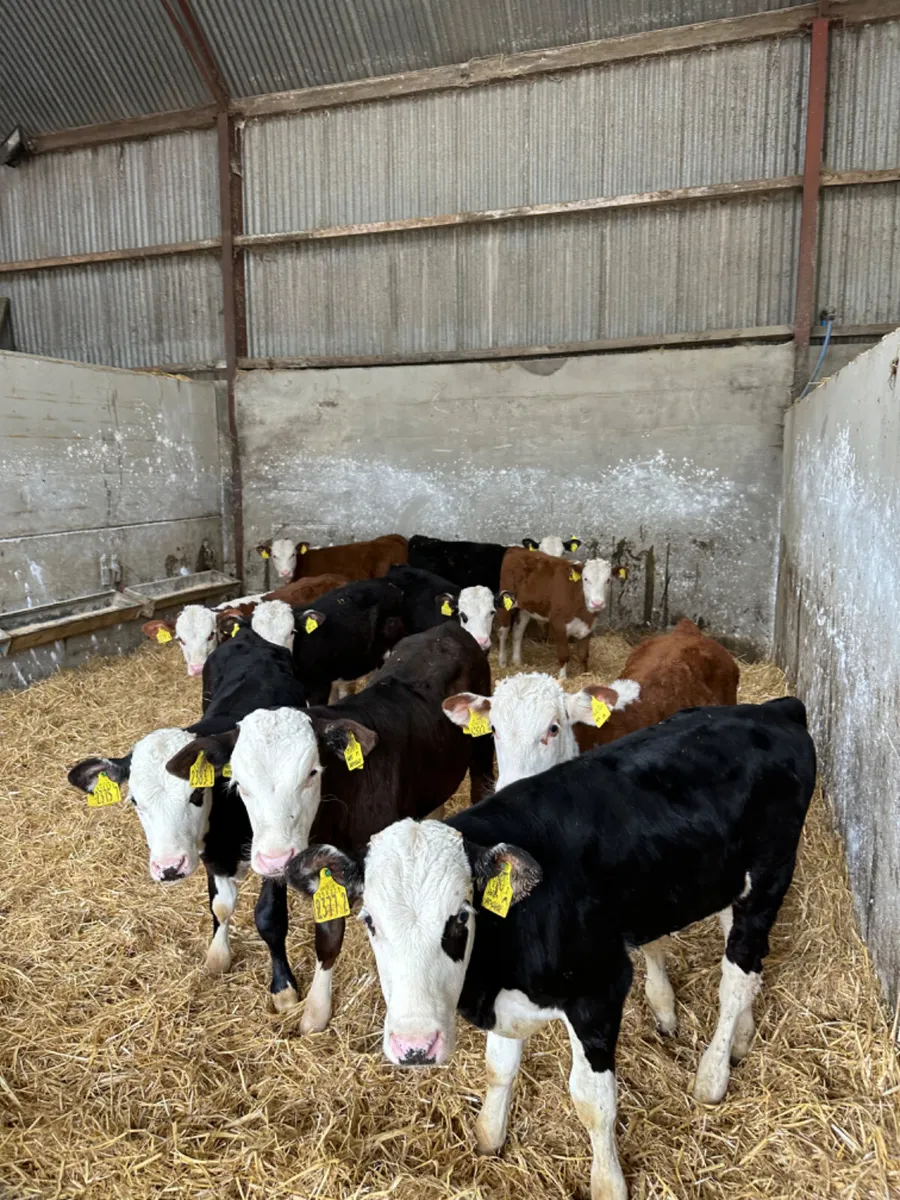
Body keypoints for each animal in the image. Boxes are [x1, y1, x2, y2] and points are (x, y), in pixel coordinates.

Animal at [67, 603, 309, 988]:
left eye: (197, 794)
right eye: (135, 802)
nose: (169, 868)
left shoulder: (274, 848)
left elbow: (269, 916)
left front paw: (283, 987)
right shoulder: (211, 855)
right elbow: (220, 906)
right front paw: (218, 955)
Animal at [166, 622, 495, 1031]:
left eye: (312, 772)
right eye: (238, 782)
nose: (274, 860)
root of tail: (447, 628)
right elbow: (327, 936)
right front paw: (317, 1010)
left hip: (482, 747)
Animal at [292, 698, 816, 1200]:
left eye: (460, 916)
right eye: (369, 921)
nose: (415, 1046)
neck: (495, 966)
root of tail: (773, 709)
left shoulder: (599, 990)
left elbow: (592, 1100)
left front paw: (608, 1184)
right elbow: (498, 1068)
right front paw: (490, 1134)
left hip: (769, 879)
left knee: (736, 976)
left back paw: (712, 1075)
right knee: (747, 962)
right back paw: (741, 1037)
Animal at [496, 547, 611, 677]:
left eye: (608, 580)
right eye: (585, 579)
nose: (597, 603)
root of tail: (515, 549)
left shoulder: (588, 627)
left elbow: (583, 655)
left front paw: (585, 674)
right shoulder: (558, 624)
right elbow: (564, 655)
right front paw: (563, 677)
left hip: (525, 608)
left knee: (518, 632)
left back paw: (517, 662)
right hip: (504, 602)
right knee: (503, 632)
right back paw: (502, 662)